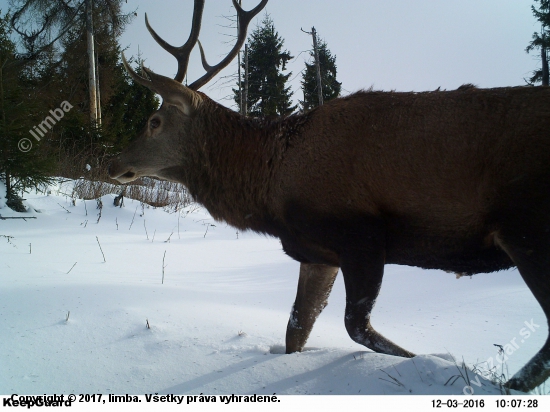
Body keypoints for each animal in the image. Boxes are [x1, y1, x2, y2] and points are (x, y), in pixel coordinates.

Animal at [110, 0, 550, 392]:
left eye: (154, 121)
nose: (114, 163)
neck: (270, 192)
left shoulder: (362, 235)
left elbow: (356, 327)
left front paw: (435, 364)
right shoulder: (318, 253)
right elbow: (295, 332)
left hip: (527, 224)